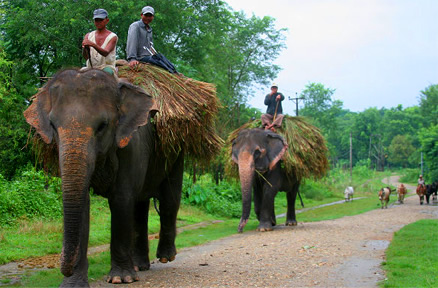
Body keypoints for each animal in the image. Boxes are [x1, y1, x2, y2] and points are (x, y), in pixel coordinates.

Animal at [23, 68, 184, 286]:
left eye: (102, 126)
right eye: (53, 126)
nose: (64, 269)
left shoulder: (131, 145)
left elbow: (121, 199)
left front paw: (120, 279)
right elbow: (84, 204)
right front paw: (73, 284)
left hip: (176, 150)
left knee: (169, 199)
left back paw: (166, 257)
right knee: (140, 206)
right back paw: (139, 266)